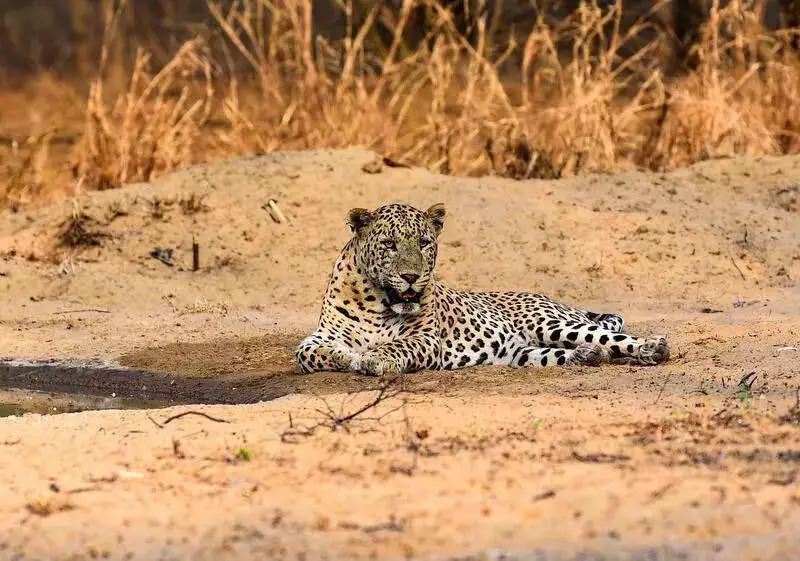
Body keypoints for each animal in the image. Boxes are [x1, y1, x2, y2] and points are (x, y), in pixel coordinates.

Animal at [296, 203, 669, 376]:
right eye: (388, 244)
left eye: (424, 242)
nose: (411, 276)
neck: (377, 300)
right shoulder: (321, 334)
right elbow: (307, 353)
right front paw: (345, 356)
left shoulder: (427, 338)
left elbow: (398, 345)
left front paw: (373, 358)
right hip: (523, 352)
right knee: (565, 351)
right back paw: (585, 357)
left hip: (551, 323)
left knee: (614, 337)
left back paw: (653, 348)